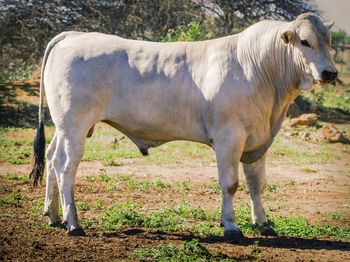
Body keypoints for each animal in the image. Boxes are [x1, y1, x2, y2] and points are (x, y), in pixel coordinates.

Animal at [30, 12, 340, 237]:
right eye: (305, 41)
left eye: (329, 42)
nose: (330, 72)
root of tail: (73, 35)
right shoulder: (229, 137)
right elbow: (231, 184)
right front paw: (231, 226)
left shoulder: (258, 139)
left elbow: (257, 184)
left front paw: (262, 223)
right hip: (75, 125)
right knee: (66, 167)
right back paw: (73, 223)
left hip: (63, 127)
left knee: (52, 159)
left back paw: (53, 215)